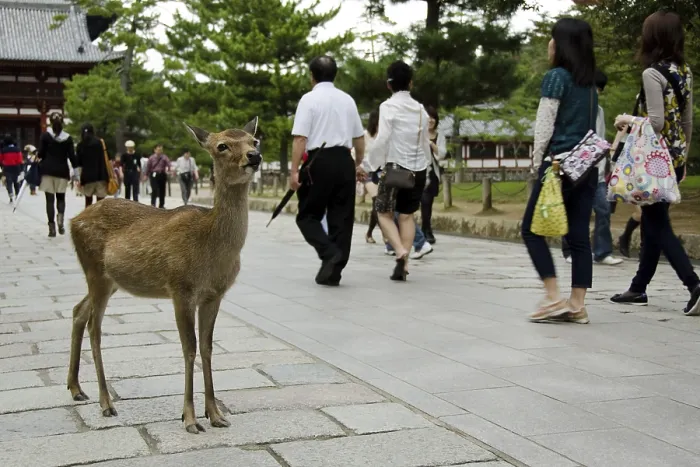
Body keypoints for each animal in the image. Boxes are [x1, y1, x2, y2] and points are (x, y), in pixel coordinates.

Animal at [66, 118, 261, 434]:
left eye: (254, 140)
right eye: (222, 145)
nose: (254, 156)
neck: (213, 249)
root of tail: (73, 221)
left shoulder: (215, 295)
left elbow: (207, 347)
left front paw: (216, 414)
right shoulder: (180, 288)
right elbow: (189, 348)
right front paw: (190, 418)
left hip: (110, 280)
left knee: (78, 310)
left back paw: (76, 389)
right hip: (95, 270)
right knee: (95, 327)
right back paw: (106, 403)